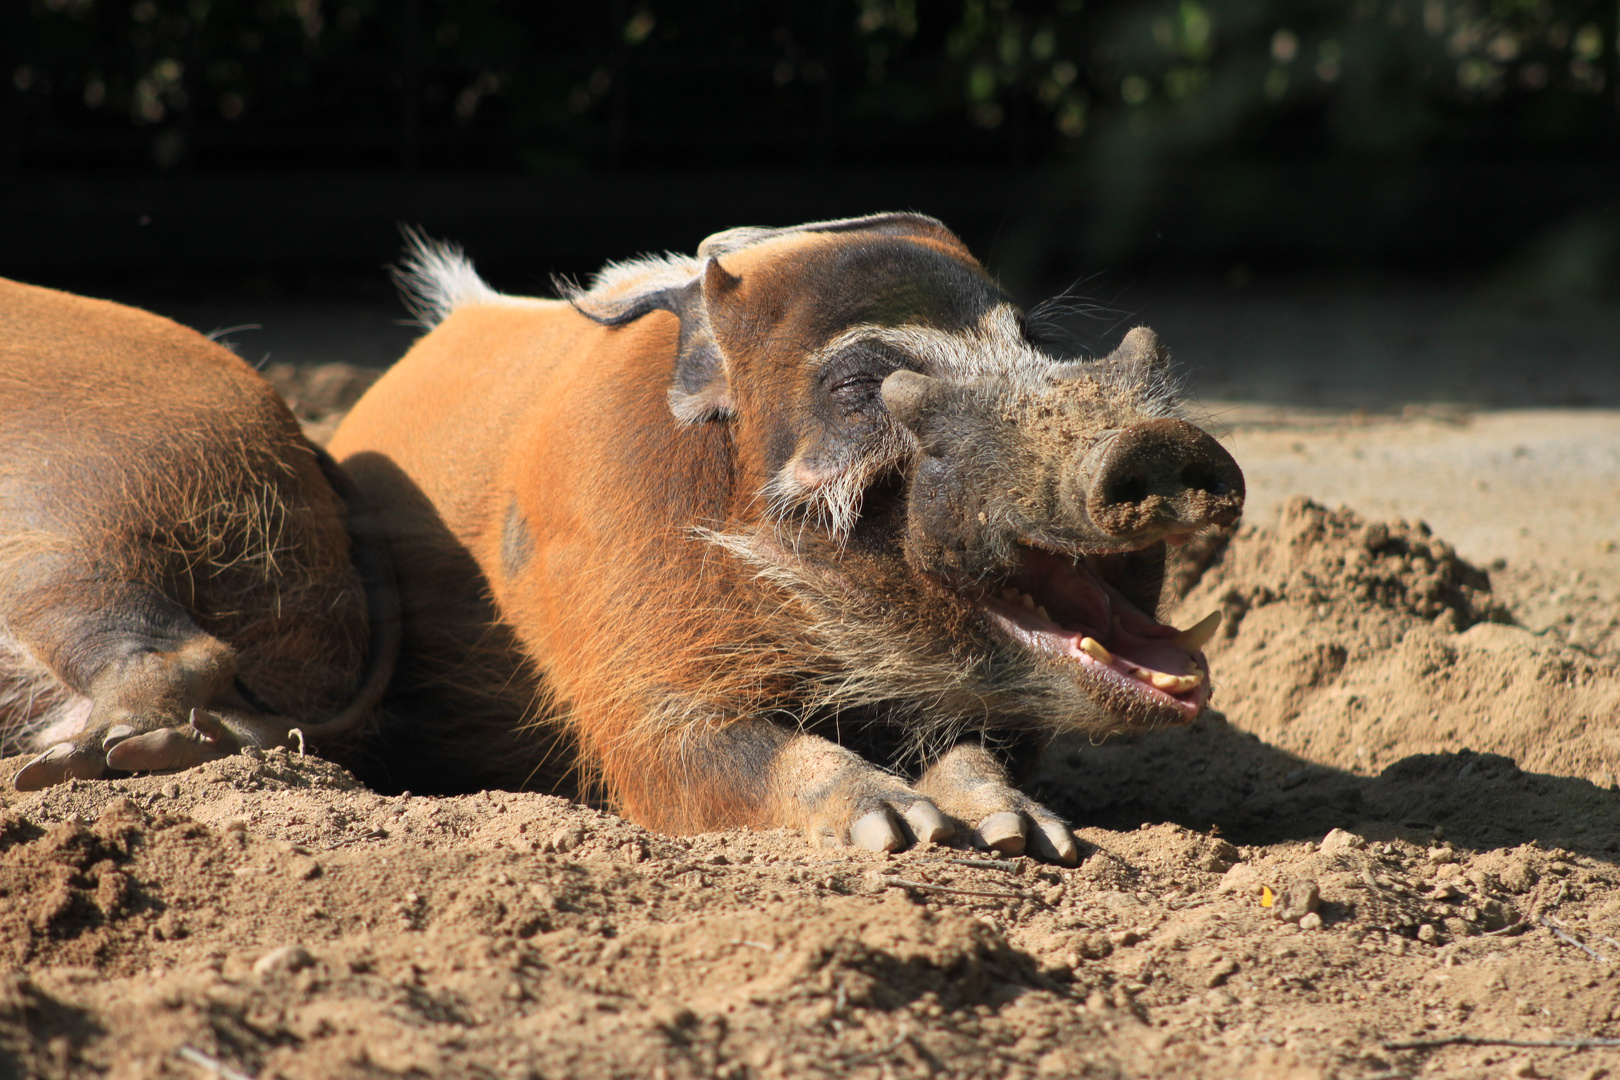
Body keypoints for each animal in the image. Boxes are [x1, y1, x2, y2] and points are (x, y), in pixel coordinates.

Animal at [325, 215, 1237, 867]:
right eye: (861, 384)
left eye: (1034, 344)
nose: (1156, 439)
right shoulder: (632, 685)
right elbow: (707, 750)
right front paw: (905, 831)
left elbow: (980, 750)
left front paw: (1030, 839)